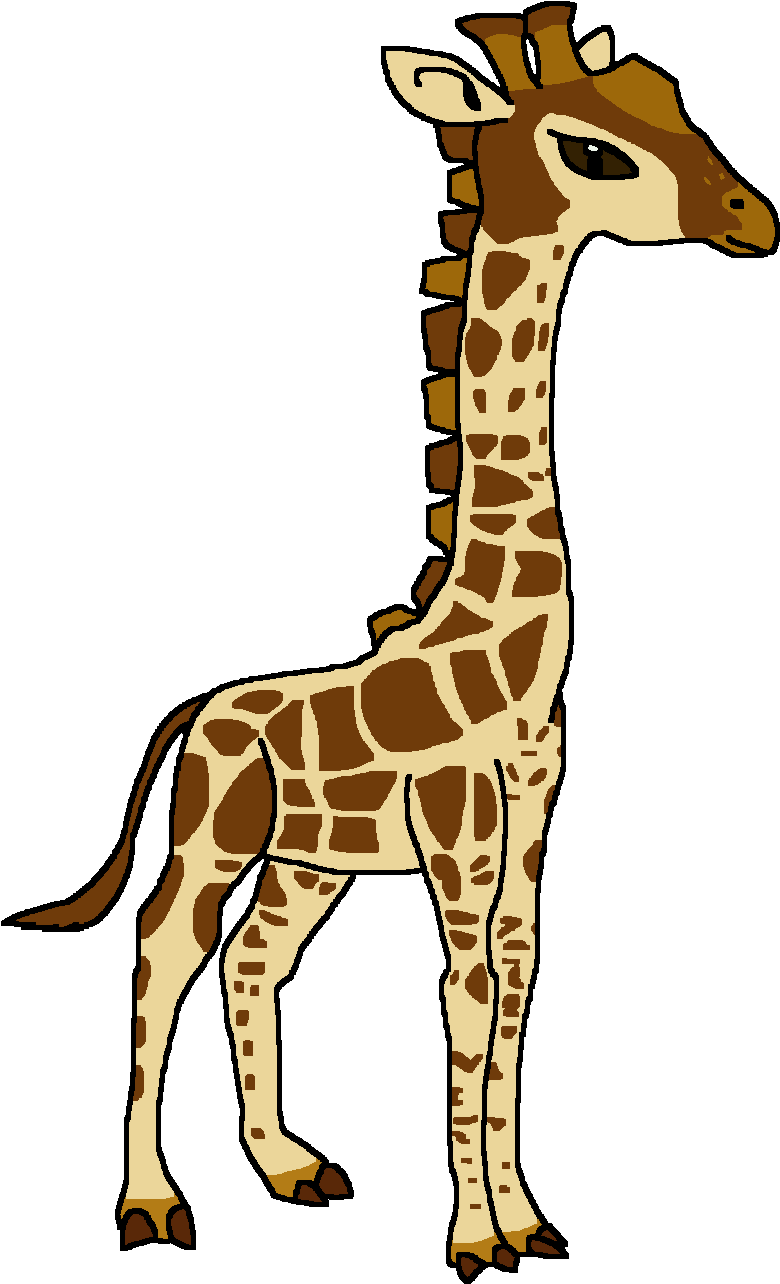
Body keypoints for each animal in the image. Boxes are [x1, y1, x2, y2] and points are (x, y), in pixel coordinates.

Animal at [17, 7, 773, 1272]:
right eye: (592, 151)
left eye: (672, 97)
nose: (749, 218)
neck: (505, 648)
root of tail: (202, 706)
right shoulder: (458, 812)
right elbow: (467, 989)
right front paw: (474, 1239)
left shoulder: (535, 797)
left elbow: (518, 979)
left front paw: (526, 1219)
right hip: (215, 835)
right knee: (164, 956)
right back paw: (151, 1203)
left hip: (311, 861)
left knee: (252, 959)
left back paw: (287, 1165)